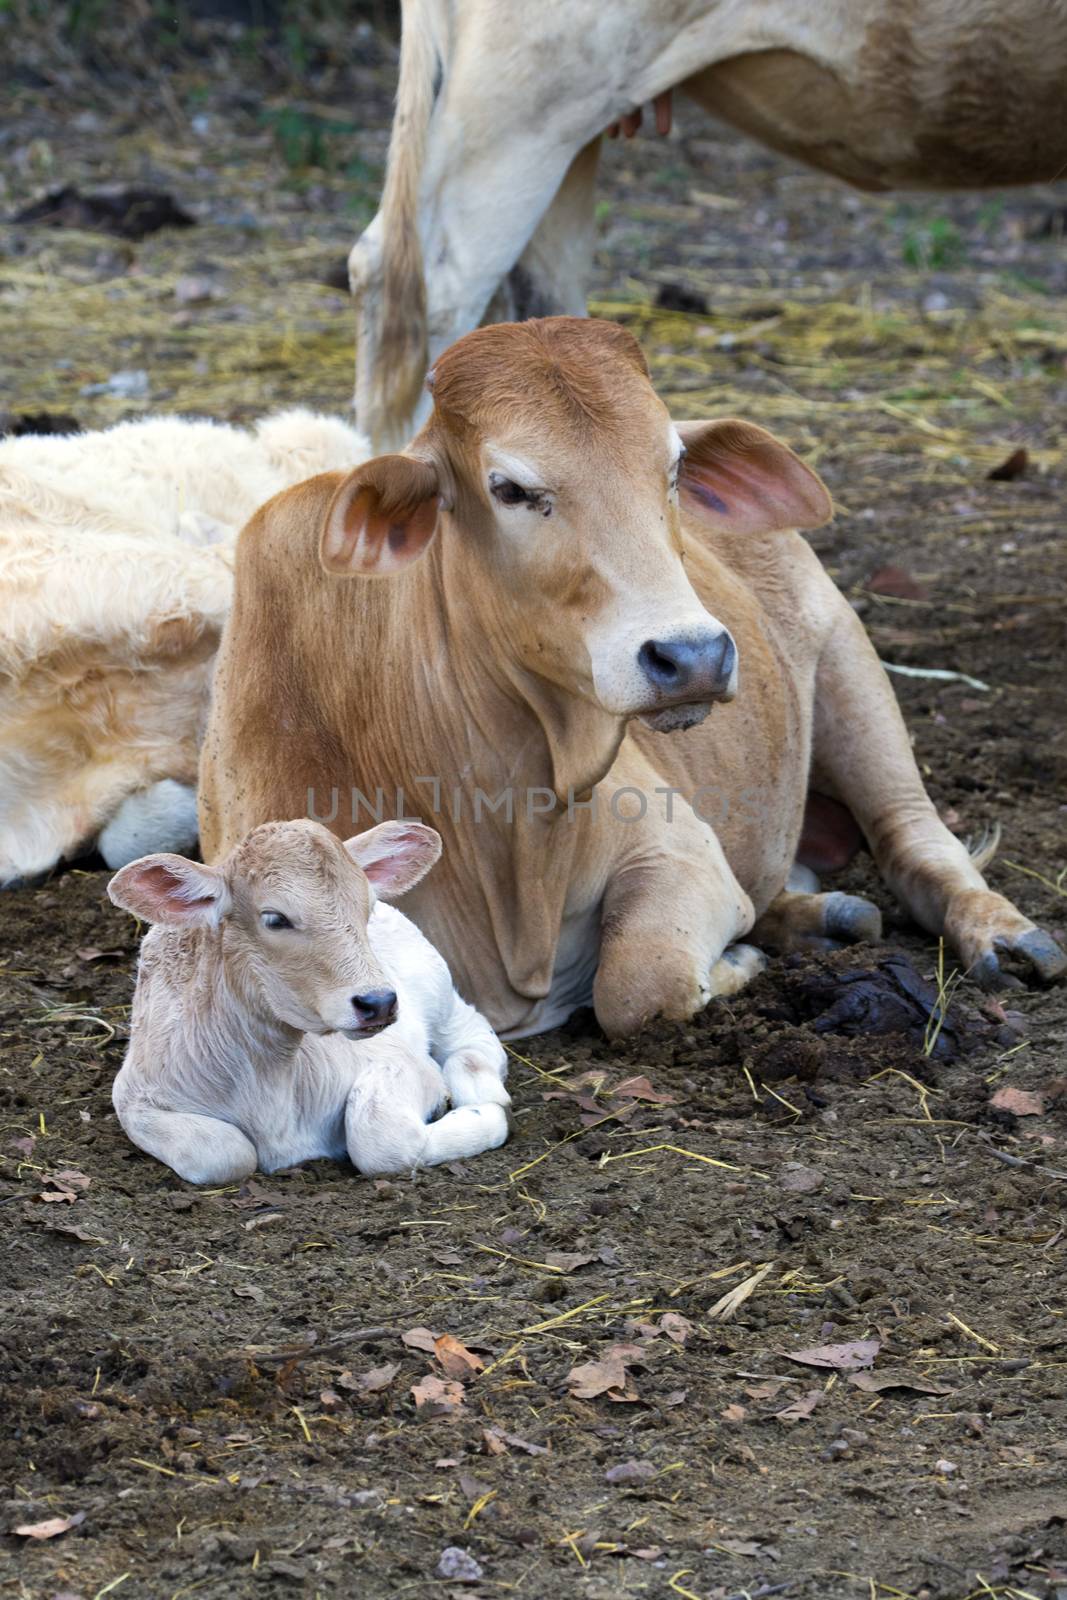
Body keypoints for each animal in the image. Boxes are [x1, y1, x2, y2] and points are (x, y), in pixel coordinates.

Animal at [110, 819, 511, 1184]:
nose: (378, 1002)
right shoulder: (133, 1096)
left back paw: (481, 1089)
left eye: (366, 907)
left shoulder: (405, 1062)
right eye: (275, 918)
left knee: (473, 1033)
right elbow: (226, 1153)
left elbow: (379, 1138)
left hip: (437, 986)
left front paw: (485, 1117)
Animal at [198, 315, 1062, 1036]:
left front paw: (736, 962)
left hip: (850, 669)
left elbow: (636, 986)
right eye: (509, 488)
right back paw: (823, 918)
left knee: (917, 845)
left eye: (673, 468)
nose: (692, 655)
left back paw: (1004, 937)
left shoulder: (676, 850)